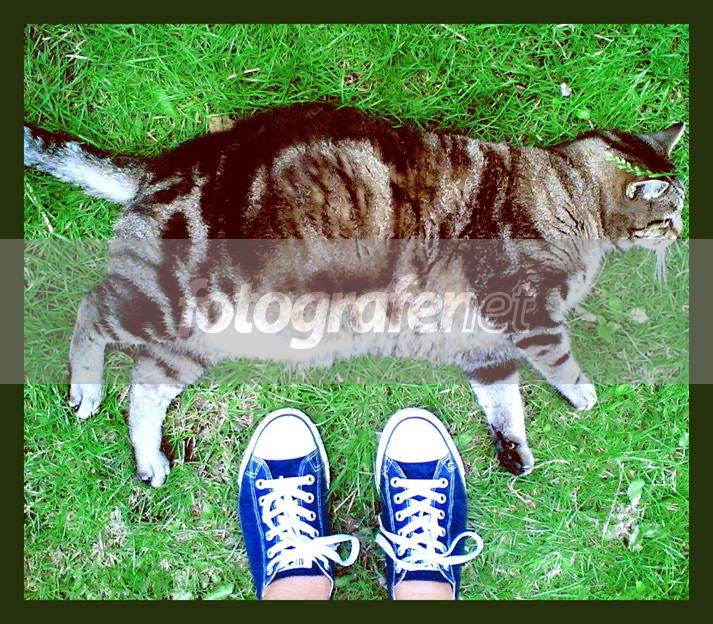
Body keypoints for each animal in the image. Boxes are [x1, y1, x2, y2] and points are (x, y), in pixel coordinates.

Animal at [24, 103, 686, 486]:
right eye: (671, 213)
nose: (682, 232)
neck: (569, 195)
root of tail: (161, 166)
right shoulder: (525, 307)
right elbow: (558, 358)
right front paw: (584, 393)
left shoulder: (486, 347)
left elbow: (505, 401)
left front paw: (513, 448)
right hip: (168, 302)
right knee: (92, 310)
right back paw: (86, 389)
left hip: (192, 341)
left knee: (143, 388)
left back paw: (148, 461)